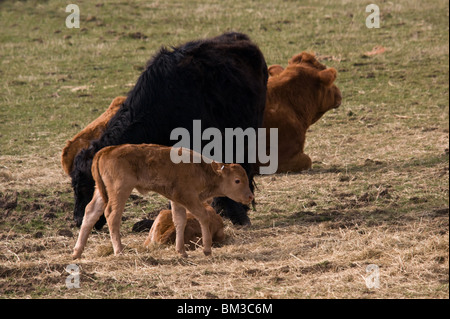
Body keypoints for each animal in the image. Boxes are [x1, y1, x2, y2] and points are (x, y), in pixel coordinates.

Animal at [72, 145, 251, 260]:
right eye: (237, 180)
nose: (250, 196)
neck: (201, 169)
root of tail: (106, 151)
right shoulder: (188, 198)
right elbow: (203, 216)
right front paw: (207, 249)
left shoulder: (177, 201)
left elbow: (179, 221)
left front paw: (181, 252)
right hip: (120, 191)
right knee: (112, 215)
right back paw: (119, 251)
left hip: (101, 192)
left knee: (90, 213)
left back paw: (77, 252)